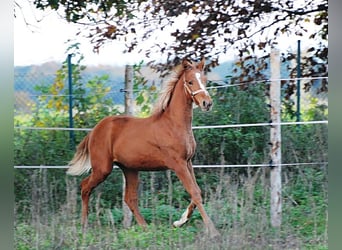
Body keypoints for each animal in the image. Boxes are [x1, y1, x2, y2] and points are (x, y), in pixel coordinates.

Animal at [67, 58, 220, 238]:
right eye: (190, 81)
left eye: (204, 80)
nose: (207, 103)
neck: (173, 124)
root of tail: (94, 131)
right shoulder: (178, 164)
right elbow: (194, 193)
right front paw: (213, 231)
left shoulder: (188, 162)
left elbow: (197, 192)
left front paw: (179, 222)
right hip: (102, 169)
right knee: (85, 187)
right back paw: (84, 227)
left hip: (130, 169)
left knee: (129, 198)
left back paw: (146, 229)